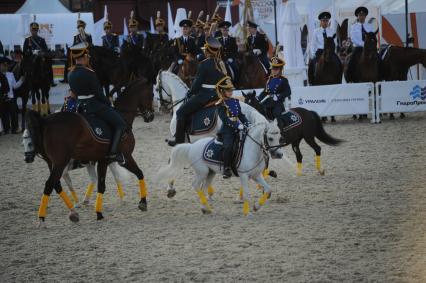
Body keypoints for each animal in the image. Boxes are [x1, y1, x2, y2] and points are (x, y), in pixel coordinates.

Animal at [24, 79, 155, 226]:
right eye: (152, 94)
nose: (151, 116)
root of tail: (45, 121)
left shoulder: (103, 161)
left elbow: (102, 183)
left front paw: (98, 212)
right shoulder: (124, 157)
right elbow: (138, 174)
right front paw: (142, 202)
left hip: (52, 163)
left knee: (56, 185)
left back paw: (73, 213)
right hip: (60, 163)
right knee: (49, 185)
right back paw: (42, 219)